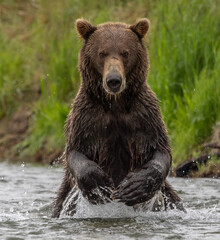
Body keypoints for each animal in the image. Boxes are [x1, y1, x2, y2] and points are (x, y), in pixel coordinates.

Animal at [52, 18, 185, 218]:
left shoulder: (144, 117)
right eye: (102, 53)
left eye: (125, 52)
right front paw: (99, 185)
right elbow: (75, 151)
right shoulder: (87, 118)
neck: (116, 104)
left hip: (170, 197)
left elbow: (160, 149)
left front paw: (135, 187)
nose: (113, 80)